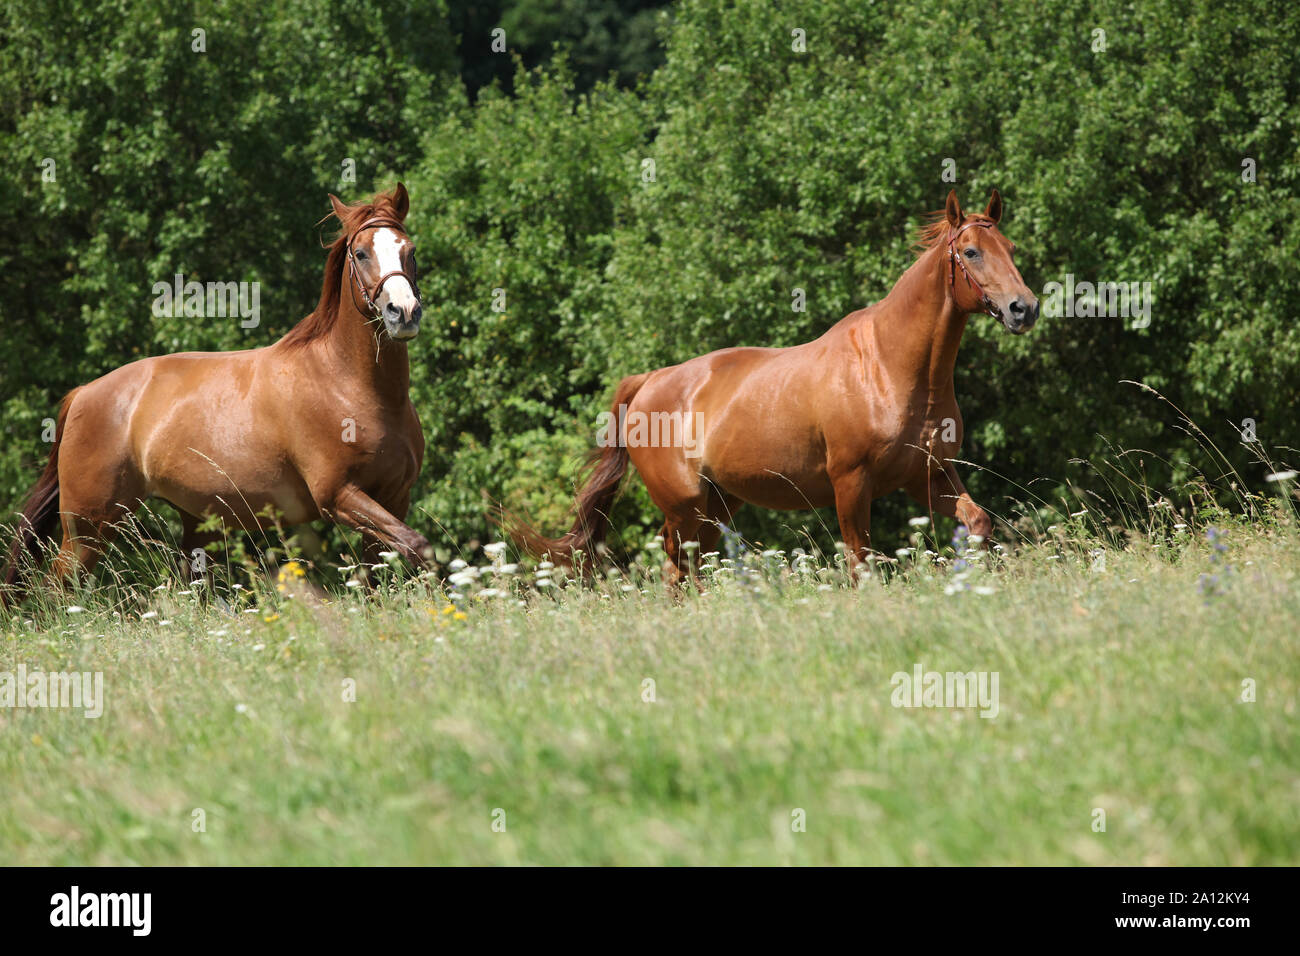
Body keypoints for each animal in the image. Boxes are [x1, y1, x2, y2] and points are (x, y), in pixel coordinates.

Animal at [2, 184, 431, 605]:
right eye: (361, 253)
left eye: (410, 250)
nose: (403, 312)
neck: (352, 386)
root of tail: (82, 394)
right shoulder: (339, 496)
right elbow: (416, 545)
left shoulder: (394, 497)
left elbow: (389, 567)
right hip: (88, 529)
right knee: (56, 591)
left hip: (197, 521)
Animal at [510, 189, 1038, 583]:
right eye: (971, 252)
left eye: (1011, 250)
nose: (1024, 308)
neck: (890, 369)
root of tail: (650, 382)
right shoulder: (851, 484)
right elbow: (859, 559)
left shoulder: (929, 475)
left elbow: (977, 521)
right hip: (684, 506)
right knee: (677, 567)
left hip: (717, 504)